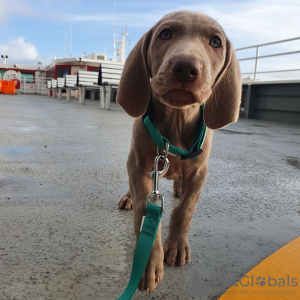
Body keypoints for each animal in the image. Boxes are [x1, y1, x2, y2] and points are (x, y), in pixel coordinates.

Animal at [116, 10, 241, 294]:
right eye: (165, 33)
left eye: (215, 42)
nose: (186, 67)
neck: (175, 124)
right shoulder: (141, 165)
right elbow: (144, 208)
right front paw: (149, 261)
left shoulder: (200, 172)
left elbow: (186, 210)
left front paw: (176, 246)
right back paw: (129, 196)